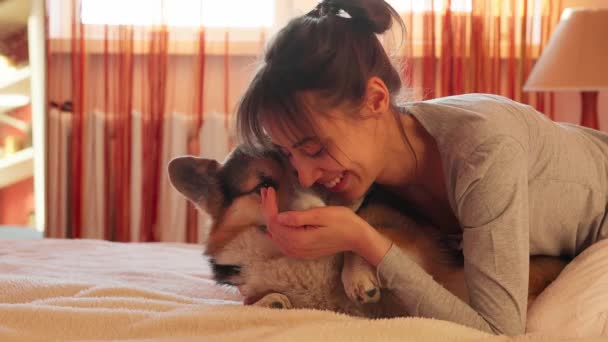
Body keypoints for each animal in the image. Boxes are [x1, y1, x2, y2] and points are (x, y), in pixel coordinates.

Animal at [166, 145, 564, 318]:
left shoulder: (410, 241)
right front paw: (270, 302)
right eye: (263, 184)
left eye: (310, 176)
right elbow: (253, 301)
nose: (317, 213)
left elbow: (364, 237)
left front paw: (357, 278)